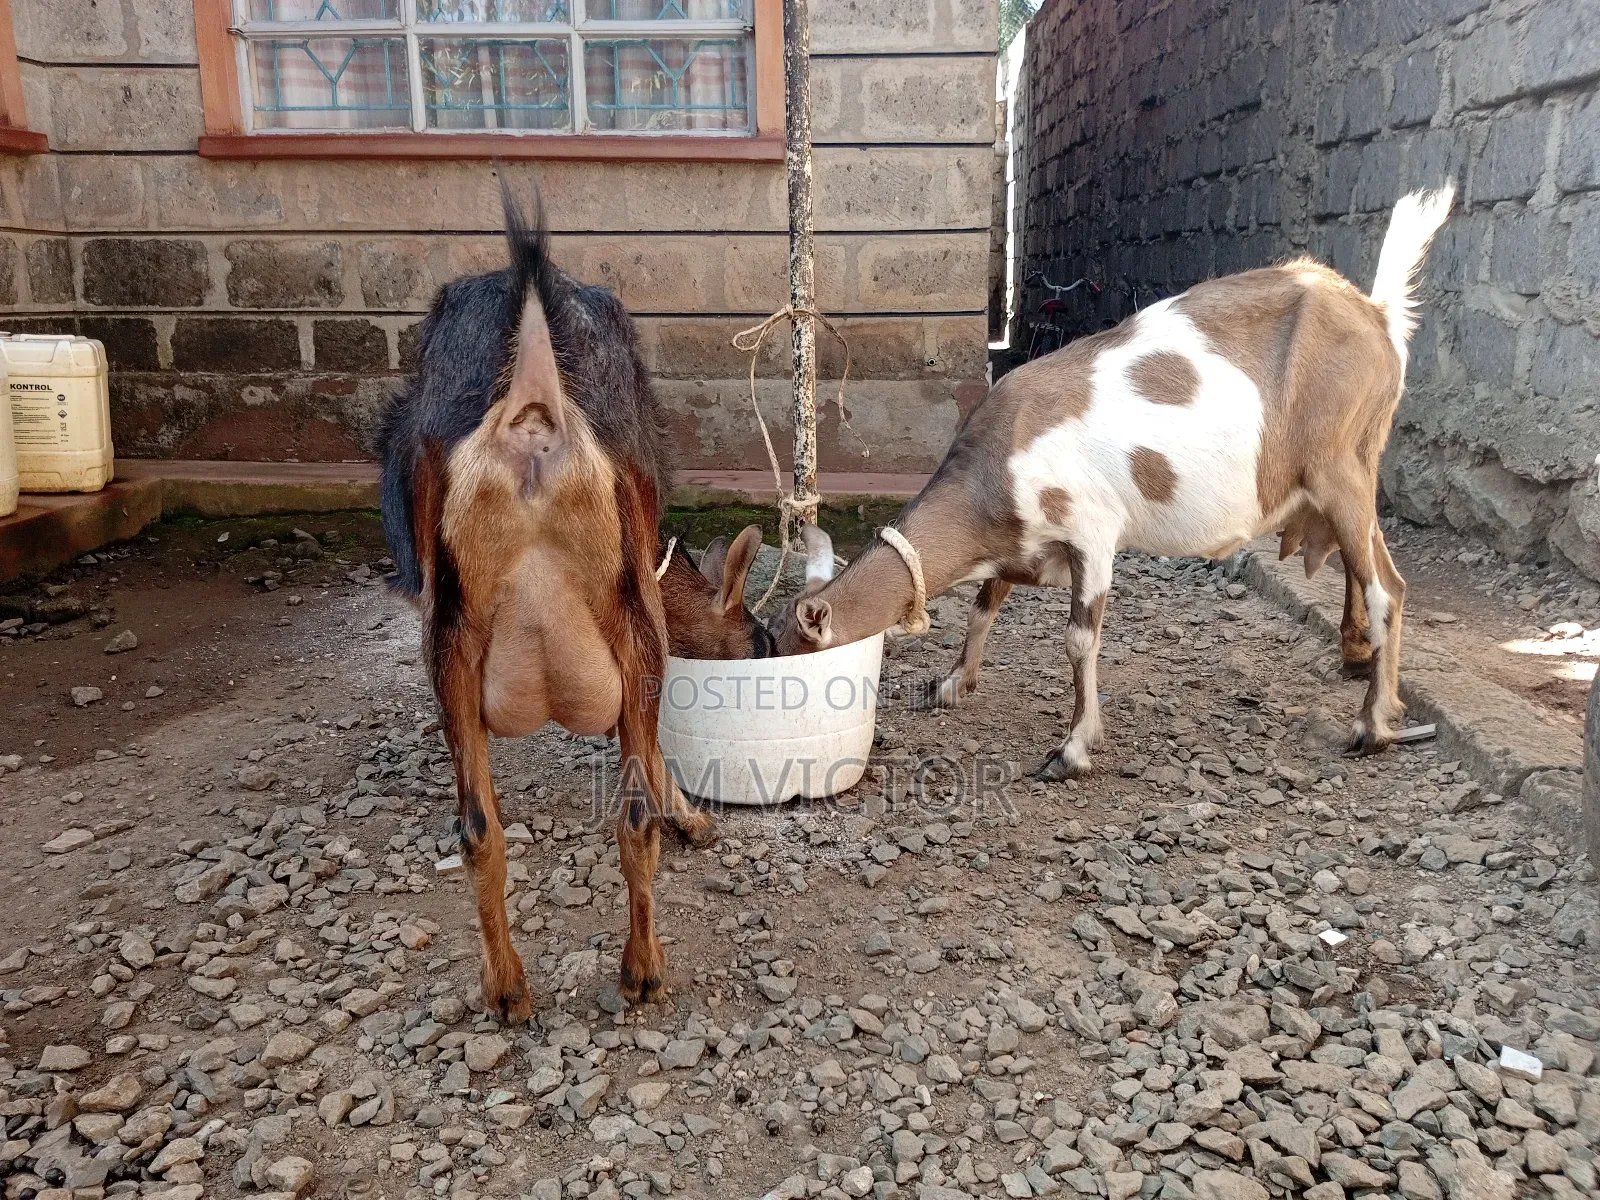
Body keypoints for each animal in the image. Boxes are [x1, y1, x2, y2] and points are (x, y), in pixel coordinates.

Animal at [377, 188, 767, 1022]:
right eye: (757, 643)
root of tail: (531, 407)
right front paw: (693, 816)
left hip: (450, 638)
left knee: (479, 827)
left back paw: (511, 988)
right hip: (593, 627)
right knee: (616, 818)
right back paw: (637, 970)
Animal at [769, 186, 1455, 777]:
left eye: (785, 650)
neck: (996, 469)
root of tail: (1378, 316)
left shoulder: (1092, 533)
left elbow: (1078, 639)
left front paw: (1073, 748)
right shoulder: (1017, 547)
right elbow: (985, 607)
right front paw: (951, 685)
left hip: (1340, 468)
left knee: (1386, 591)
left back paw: (1372, 728)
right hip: (1351, 474)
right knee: (1377, 574)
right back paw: (1367, 676)